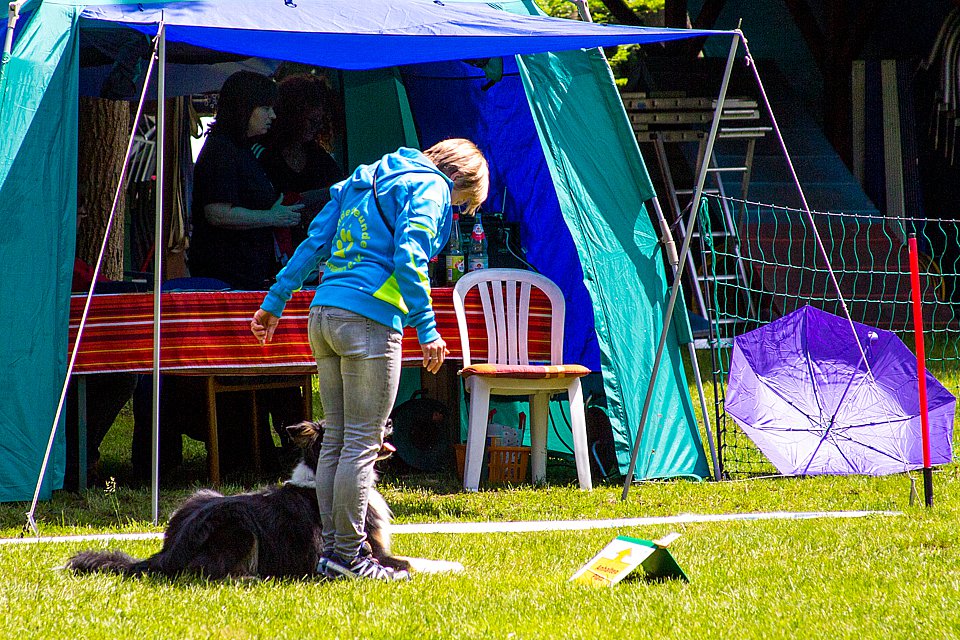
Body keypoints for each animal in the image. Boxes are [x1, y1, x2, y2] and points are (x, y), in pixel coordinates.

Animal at [66, 420, 411, 580]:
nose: (391, 422)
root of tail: (167, 552)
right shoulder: (373, 551)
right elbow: (408, 562)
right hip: (240, 527)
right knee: (206, 573)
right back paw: (253, 578)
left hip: (203, 495)